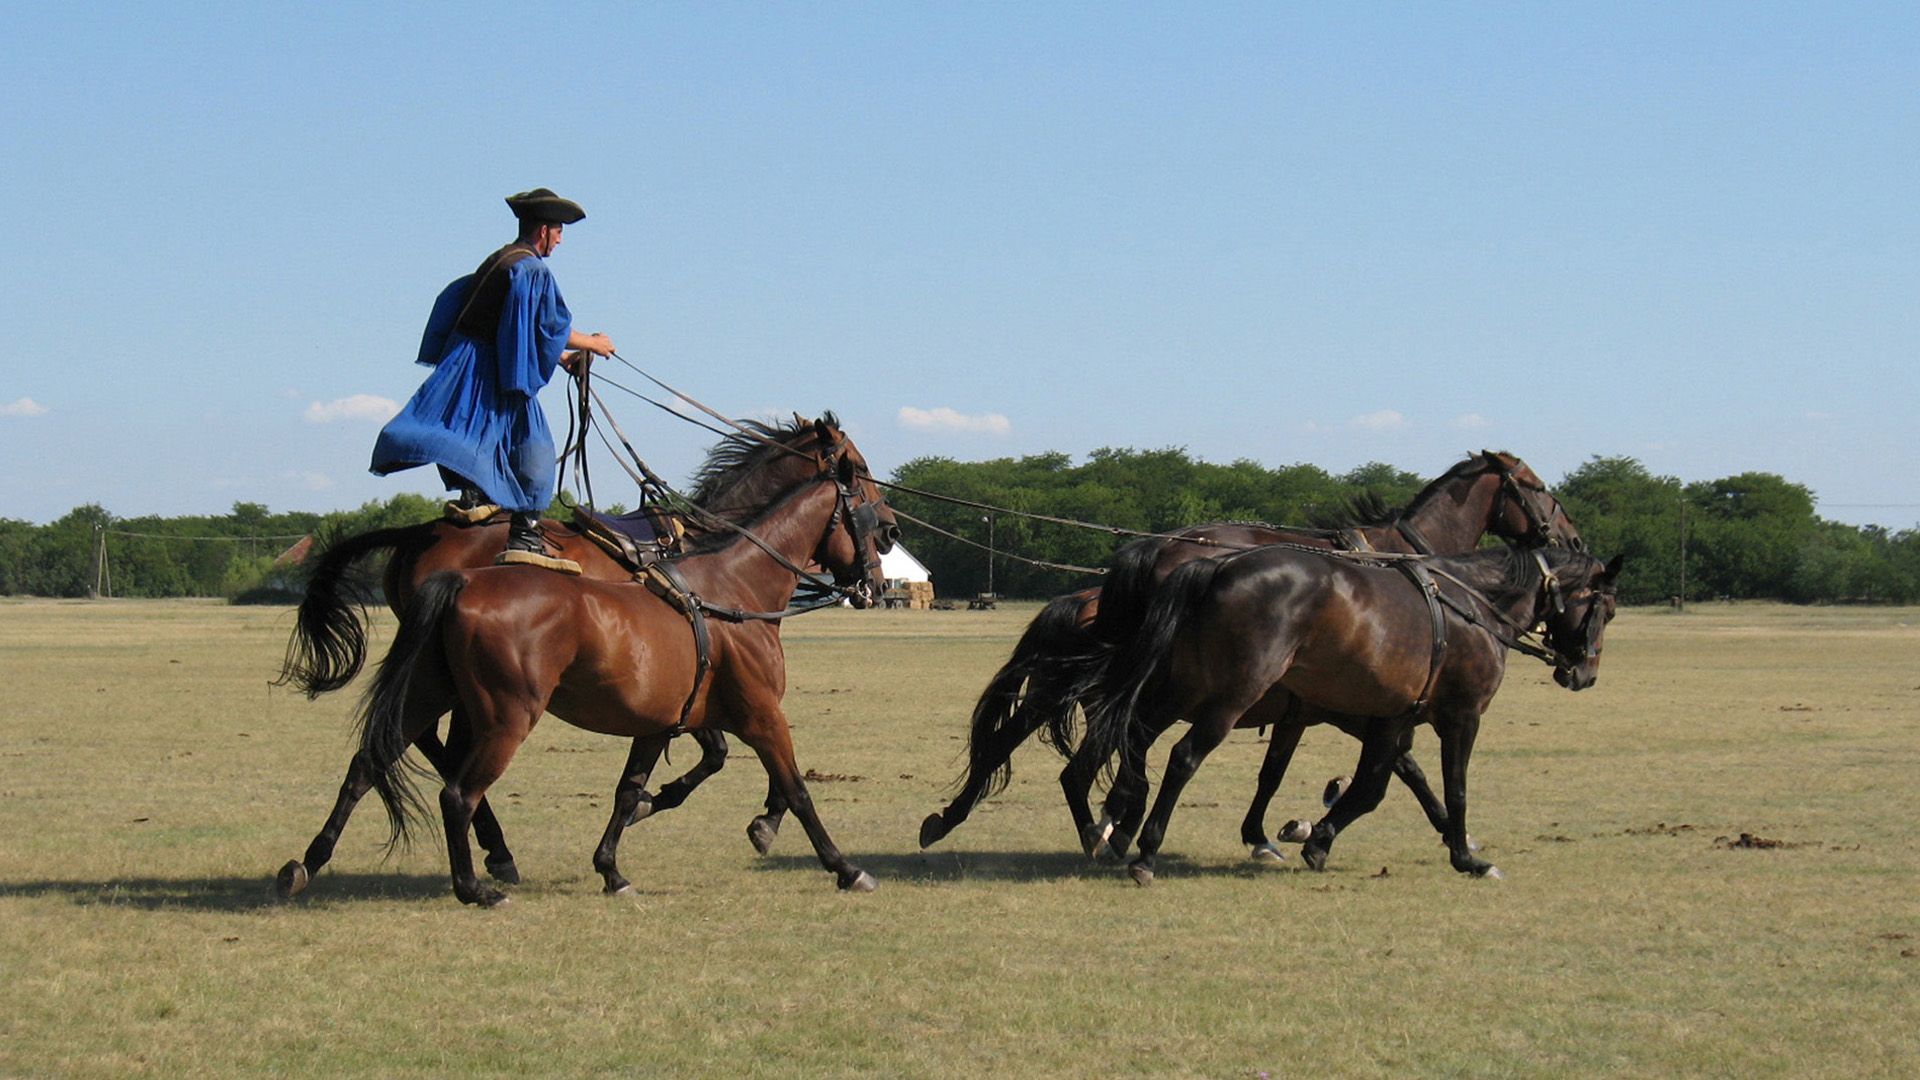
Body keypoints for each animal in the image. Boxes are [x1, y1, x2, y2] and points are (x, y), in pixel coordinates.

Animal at [274, 417, 897, 904]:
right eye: (862, 480)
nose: (886, 552)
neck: (733, 585)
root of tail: (458, 577)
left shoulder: (663, 721)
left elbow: (632, 789)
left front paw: (615, 864)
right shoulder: (760, 713)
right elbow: (794, 788)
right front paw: (841, 865)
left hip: (432, 690)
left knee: (370, 762)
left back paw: (307, 863)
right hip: (505, 715)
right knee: (455, 788)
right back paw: (479, 882)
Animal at [918, 451, 1583, 855]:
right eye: (1539, 488)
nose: (1573, 540)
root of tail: (1152, 551)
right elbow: (1396, 766)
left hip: (1075, 685)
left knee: (1017, 738)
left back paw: (959, 817)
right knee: (1097, 747)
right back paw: (1106, 822)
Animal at [1081, 544, 1622, 884]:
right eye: (1608, 610)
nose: (1585, 674)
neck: (1473, 602)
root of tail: (1216, 567)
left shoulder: (1391, 719)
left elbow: (1372, 789)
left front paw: (1318, 839)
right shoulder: (1462, 716)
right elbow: (1455, 789)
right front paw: (1469, 858)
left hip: (1185, 689)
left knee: (1134, 736)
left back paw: (1117, 824)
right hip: (1228, 697)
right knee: (1183, 757)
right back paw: (1145, 851)